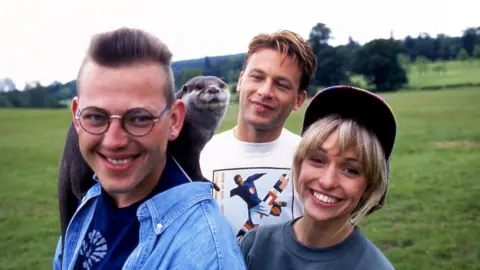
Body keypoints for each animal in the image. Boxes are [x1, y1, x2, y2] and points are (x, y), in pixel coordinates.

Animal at [58, 75, 231, 248]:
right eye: (200, 86)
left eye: (222, 85)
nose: (213, 89)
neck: (196, 128)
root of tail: (66, 149)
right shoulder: (187, 148)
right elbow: (192, 169)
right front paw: (206, 181)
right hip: (80, 158)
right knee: (77, 180)